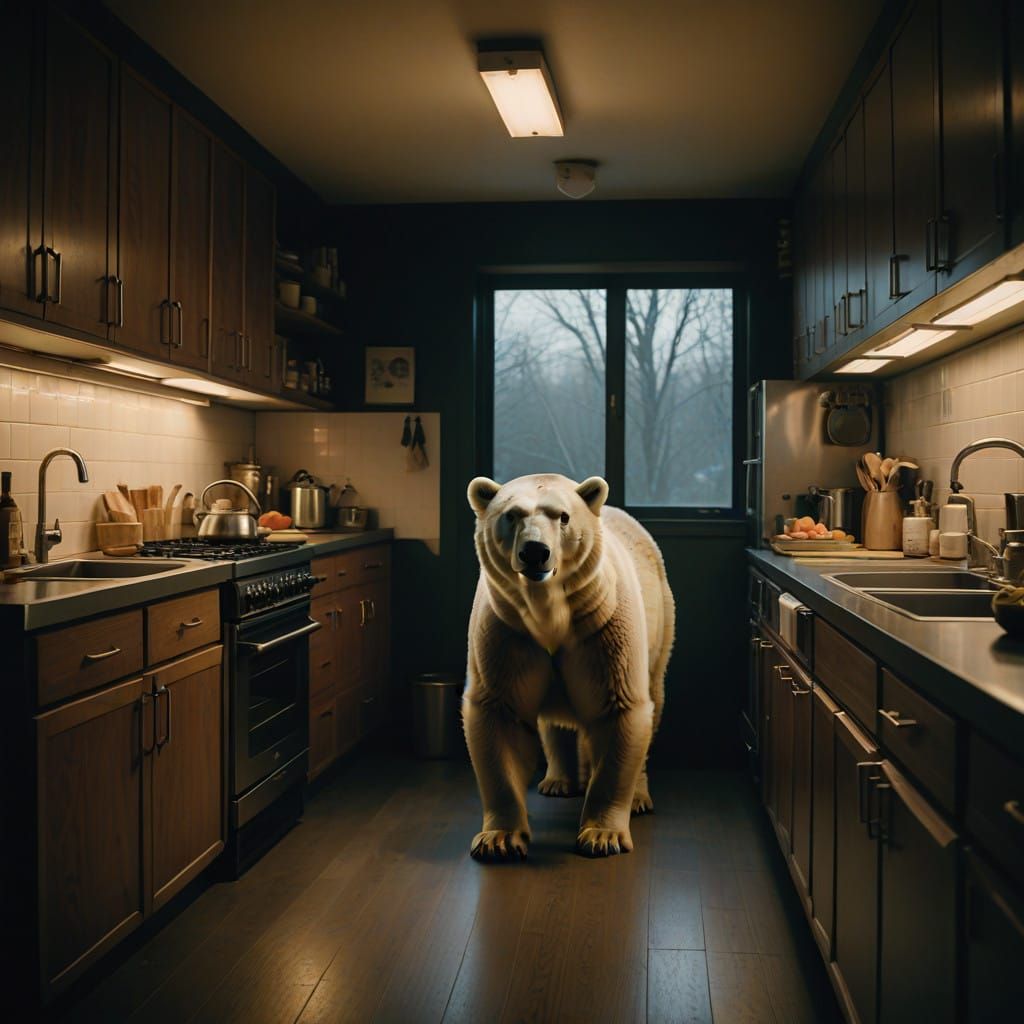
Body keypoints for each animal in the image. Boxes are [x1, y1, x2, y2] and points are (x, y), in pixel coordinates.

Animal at [464, 472, 675, 860]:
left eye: (562, 516)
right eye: (511, 515)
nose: (535, 551)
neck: (548, 615)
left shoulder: (604, 630)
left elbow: (620, 709)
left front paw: (602, 836)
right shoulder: (508, 632)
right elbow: (500, 713)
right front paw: (499, 839)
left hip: (660, 625)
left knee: (653, 698)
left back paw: (638, 797)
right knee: (554, 721)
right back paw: (558, 780)